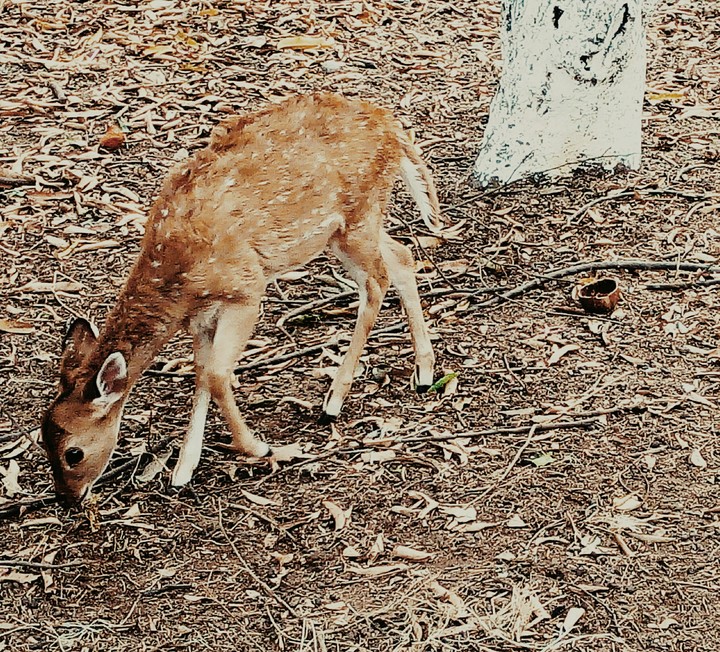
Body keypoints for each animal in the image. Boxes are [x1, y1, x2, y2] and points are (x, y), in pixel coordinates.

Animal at [41, 92, 441, 505]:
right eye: (42, 441)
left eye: (74, 452)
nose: (67, 498)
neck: (177, 278)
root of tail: (392, 127)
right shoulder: (201, 316)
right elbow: (201, 372)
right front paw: (183, 468)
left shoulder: (247, 288)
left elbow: (218, 375)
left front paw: (265, 449)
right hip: (346, 230)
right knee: (401, 257)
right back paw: (424, 372)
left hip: (358, 215)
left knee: (377, 280)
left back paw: (333, 401)